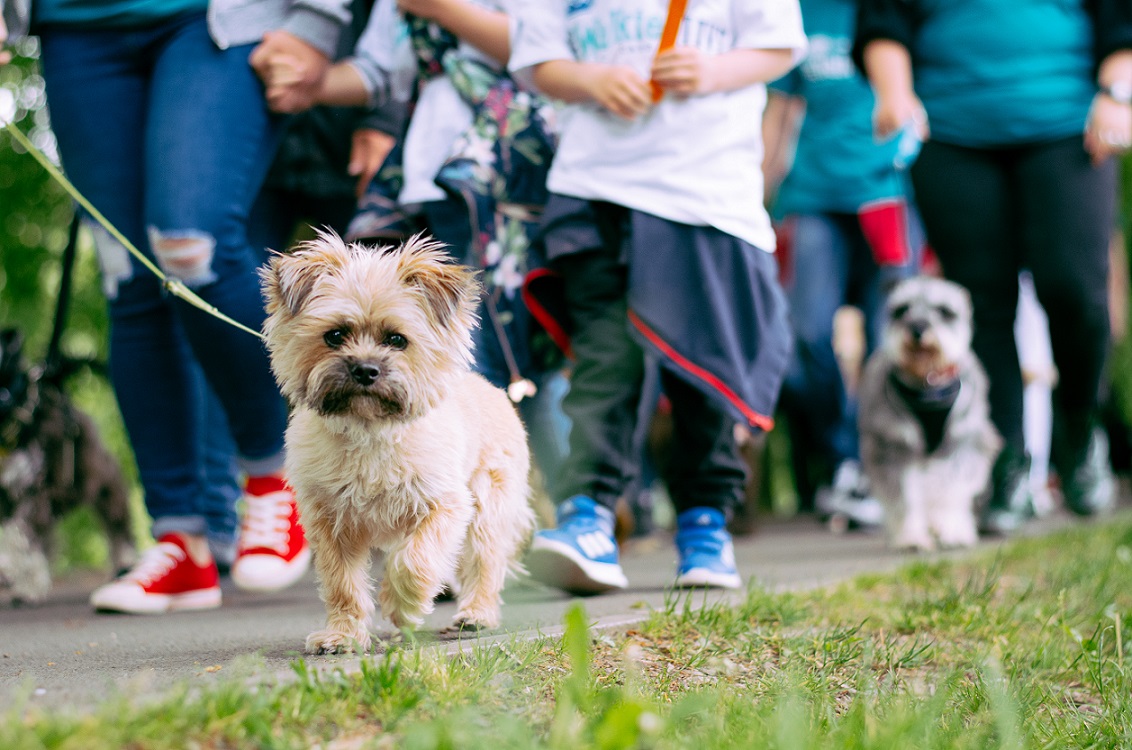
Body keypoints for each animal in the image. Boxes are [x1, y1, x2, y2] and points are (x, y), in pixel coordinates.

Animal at [0, 328, 134, 606]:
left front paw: (12, 571)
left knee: (118, 524)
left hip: (103, 485)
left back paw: (126, 562)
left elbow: (17, 534)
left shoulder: (32, 492)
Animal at [260, 231, 534, 656]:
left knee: (484, 564)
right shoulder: (330, 523)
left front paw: (402, 606)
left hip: (487, 508)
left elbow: (415, 561)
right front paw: (343, 635)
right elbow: (342, 584)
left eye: (396, 340)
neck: (369, 431)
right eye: (334, 335)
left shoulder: (445, 506)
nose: (365, 370)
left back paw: (476, 614)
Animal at [855, 277, 1000, 552]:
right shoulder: (895, 449)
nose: (918, 329)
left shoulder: (961, 445)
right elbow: (905, 499)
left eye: (944, 311)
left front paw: (952, 531)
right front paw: (911, 536)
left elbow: (950, 493)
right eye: (902, 309)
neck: (927, 381)